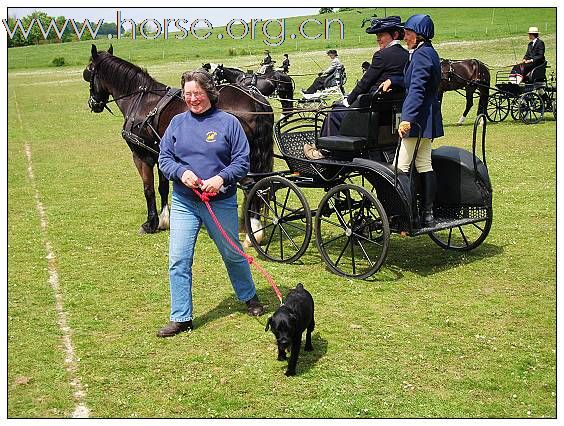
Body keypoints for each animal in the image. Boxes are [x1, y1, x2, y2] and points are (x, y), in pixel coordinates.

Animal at [82, 45, 274, 236]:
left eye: (89, 72)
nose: (93, 104)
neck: (141, 100)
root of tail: (255, 101)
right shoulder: (161, 154)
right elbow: (163, 187)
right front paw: (164, 219)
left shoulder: (141, 155)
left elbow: (148, 189)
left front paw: (150, 223)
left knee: (253, 186)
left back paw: (253, 229)